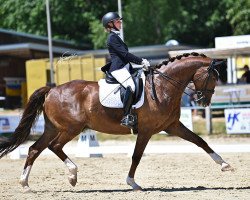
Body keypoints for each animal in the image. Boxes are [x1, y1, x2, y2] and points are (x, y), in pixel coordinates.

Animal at [0, 52, 234, 191]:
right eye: (214, 77)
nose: (204, 102)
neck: (162, 86)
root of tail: (52, 89)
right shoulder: (147, 130)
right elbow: (136, 156)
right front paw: (132, 183)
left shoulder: (172, 126)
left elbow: (200, 141)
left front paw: (225, 165)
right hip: (71, 128)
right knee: (54, 146)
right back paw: (72, 175)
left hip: (53, 127)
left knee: (34, 149)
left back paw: (26, 183)